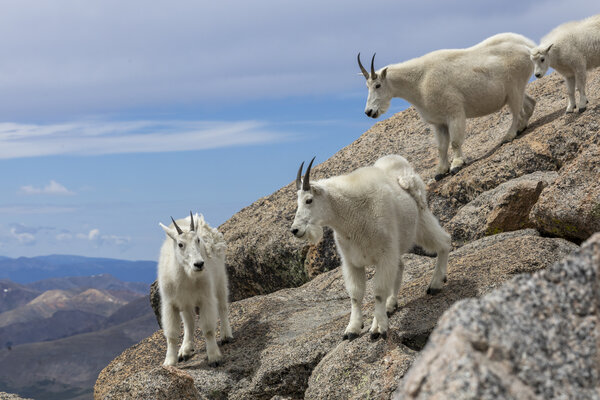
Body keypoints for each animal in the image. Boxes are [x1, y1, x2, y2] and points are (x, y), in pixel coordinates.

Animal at [157, 212, 232, 366]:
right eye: (180, 244)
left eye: (198, 240)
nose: (199, 264)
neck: (186, 277)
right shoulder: (170, 303)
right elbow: (172, 334)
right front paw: (169, 362)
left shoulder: (206, 298)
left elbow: (208, 329)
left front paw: (214, 357)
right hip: (186, 303)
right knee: (189, 322)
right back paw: (185, 350)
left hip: (220, 279)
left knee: (222, 306)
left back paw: (226, 335)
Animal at [290, 155, 450, 340]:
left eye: (309, 200)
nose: (295, 230)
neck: (350, 215)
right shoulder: (351, 261)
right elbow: (355, 295)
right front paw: (352, 329)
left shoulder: (384, 255)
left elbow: (379, 291)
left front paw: (378, 328)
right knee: (400, 266)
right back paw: (391, 305)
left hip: (421, 223)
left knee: (444, 242)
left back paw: (435, 284)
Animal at [358, 32, 536, 180]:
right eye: (367, 86)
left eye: (378, 85)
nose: (369, 111)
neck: (419, 82)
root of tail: (529, 47)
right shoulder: (439, 122)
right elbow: (441, 147)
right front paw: (440, 171)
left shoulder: (455, 112)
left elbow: (455, 142)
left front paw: (456, 165)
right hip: (515, 91)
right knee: (530, 104)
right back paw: (521, 128)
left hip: (514, 87)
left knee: (516, 112)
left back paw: (509, 135)